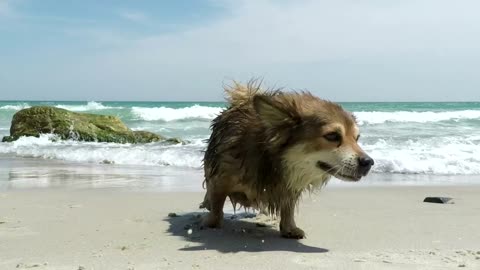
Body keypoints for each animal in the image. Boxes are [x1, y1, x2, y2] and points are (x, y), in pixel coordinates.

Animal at [201, 79, 374, 238]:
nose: (368, 162)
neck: (270, 159)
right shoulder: (220, 177)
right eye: (332, 136)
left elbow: (288, 207)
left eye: (357, 138)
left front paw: (289, 228)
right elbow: (216, 204)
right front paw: (211, 221)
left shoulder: (290, 186)